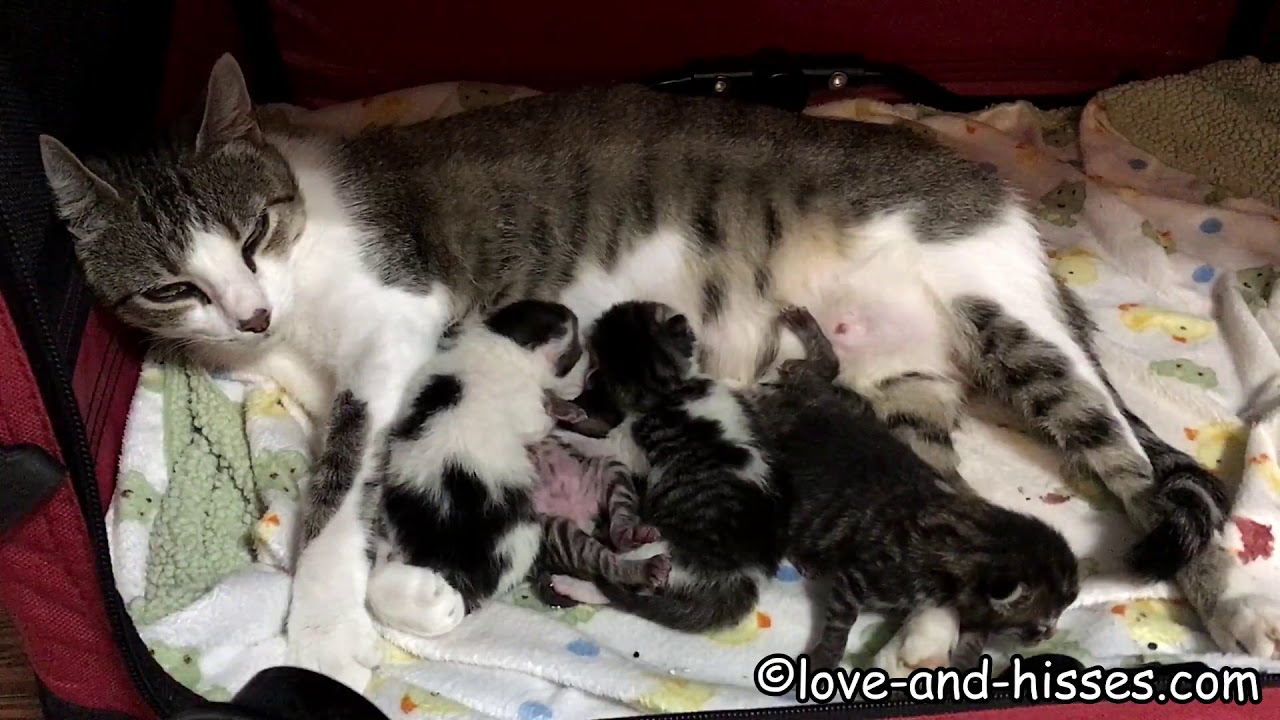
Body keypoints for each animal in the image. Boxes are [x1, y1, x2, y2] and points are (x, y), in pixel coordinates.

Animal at [35, 53, 1264, 686]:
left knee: (1136, 471)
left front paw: (322, 626)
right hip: (902, 392)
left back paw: (1241, 617)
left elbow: (342, 478)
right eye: (173, 287)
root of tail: (1000, 191)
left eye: (255, 233)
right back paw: (922, 635)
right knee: (944, 504)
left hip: (1004, 311)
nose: (247, 308)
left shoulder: (400, 320)